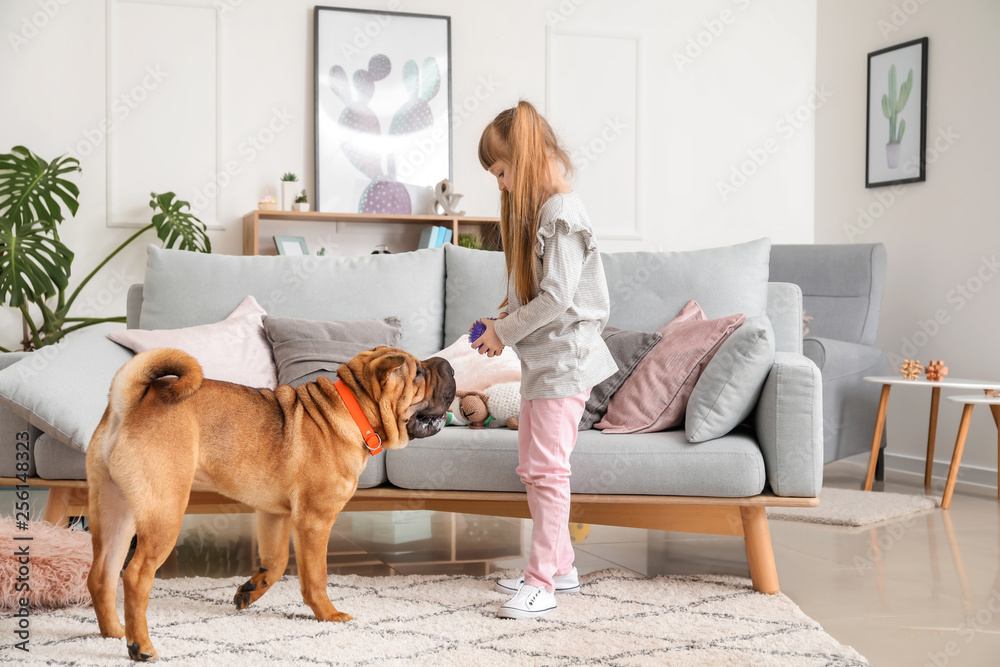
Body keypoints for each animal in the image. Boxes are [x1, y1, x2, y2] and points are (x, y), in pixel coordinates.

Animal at [86, 348, 458, 660]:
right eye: (419, 372)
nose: (448, 364)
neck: (354, 412)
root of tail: (130, 402)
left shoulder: (273, 514)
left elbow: (276, 563)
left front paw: (249, 590)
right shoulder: (314, 520)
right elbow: (316, 576)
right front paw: (329, 615)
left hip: (115, 512)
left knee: (101, 575)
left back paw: (114, 633)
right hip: (164, 512)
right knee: (135, 575)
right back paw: (140, 646)